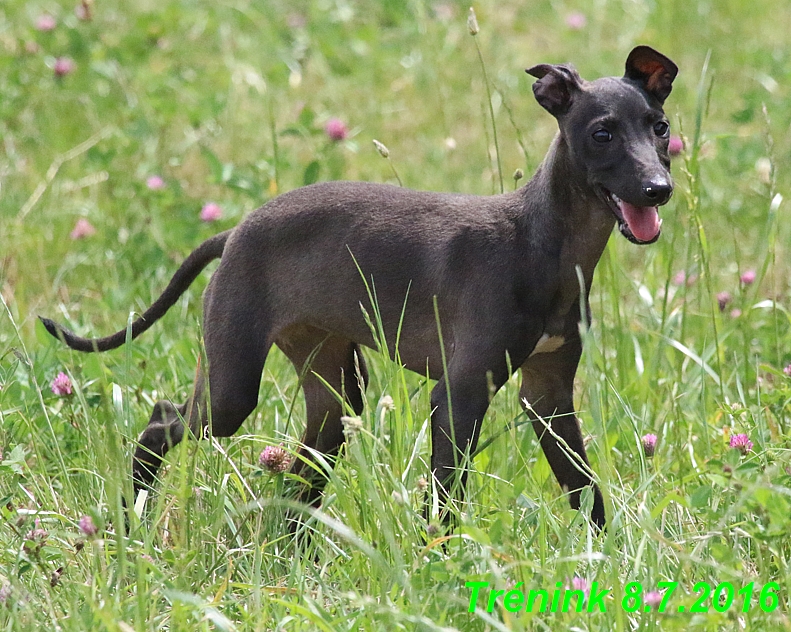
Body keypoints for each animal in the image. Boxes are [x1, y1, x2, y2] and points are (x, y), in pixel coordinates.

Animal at [40, 45, 676, 528]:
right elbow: (444, 503)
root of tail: (235, 230)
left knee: (299, 486)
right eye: (601, 133)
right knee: (160, 422)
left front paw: (602, 563)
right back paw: (130, 521)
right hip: (231, 389)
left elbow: (585, 488)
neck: (543, 243)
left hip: (334, 392)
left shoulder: (548, 394)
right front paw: (438, 569)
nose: (659, 189)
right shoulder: (459, 393)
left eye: (661, 128)